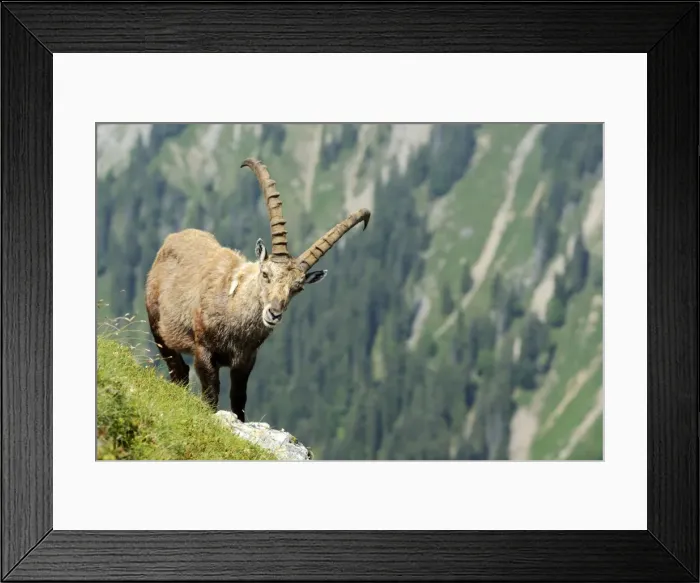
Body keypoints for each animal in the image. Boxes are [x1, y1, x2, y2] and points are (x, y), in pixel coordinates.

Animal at [145, 158, 370, 422]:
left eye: (297, 288)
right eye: (266, 274)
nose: (273, 313)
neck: (233, 310)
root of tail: (174, 238)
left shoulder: (246, 360)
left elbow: (238, 399)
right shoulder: (204, 351)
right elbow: (211, 394)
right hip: (159, 329)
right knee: (177, 369)